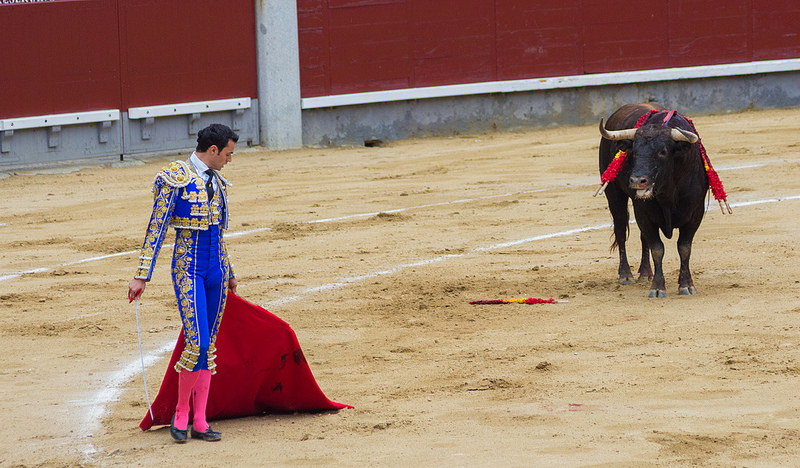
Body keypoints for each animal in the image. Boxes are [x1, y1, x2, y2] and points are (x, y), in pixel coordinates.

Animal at [596, 103, 708, 298]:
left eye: (662, 151)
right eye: (633, 152)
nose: (636, 180)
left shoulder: (695, 213)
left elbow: (684, 247)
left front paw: (686, 285)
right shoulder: (644, 213)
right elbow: (657, 248)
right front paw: (657, 287)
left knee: (643, 239)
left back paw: (645, 273)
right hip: (614, 194)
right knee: (620, 230)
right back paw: (625, 275)